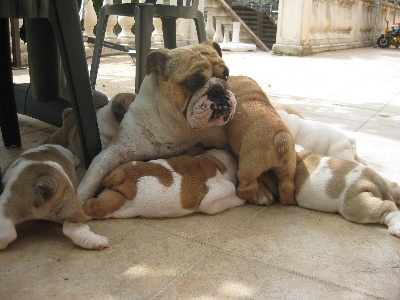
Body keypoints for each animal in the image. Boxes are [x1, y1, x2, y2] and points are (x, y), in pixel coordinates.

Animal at [76, 42, 236, 204]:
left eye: (226, 74)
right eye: (192, 82)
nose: (218, 89)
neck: (177, 124)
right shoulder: (115, 151)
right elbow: (90, 181)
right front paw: (78, 204)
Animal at [81, 149, 244, 218]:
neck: (216, 162)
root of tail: (119, 176)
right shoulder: (211, 201)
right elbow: (229, 199)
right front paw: (240, 200)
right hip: (112, 203)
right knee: (91, 207)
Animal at [225, 75, 296, 206]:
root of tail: (281, 140)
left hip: (249, 167)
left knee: (249, 186)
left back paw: (241, 195)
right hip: (288, 168)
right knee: (287, 185)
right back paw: (289, 200)